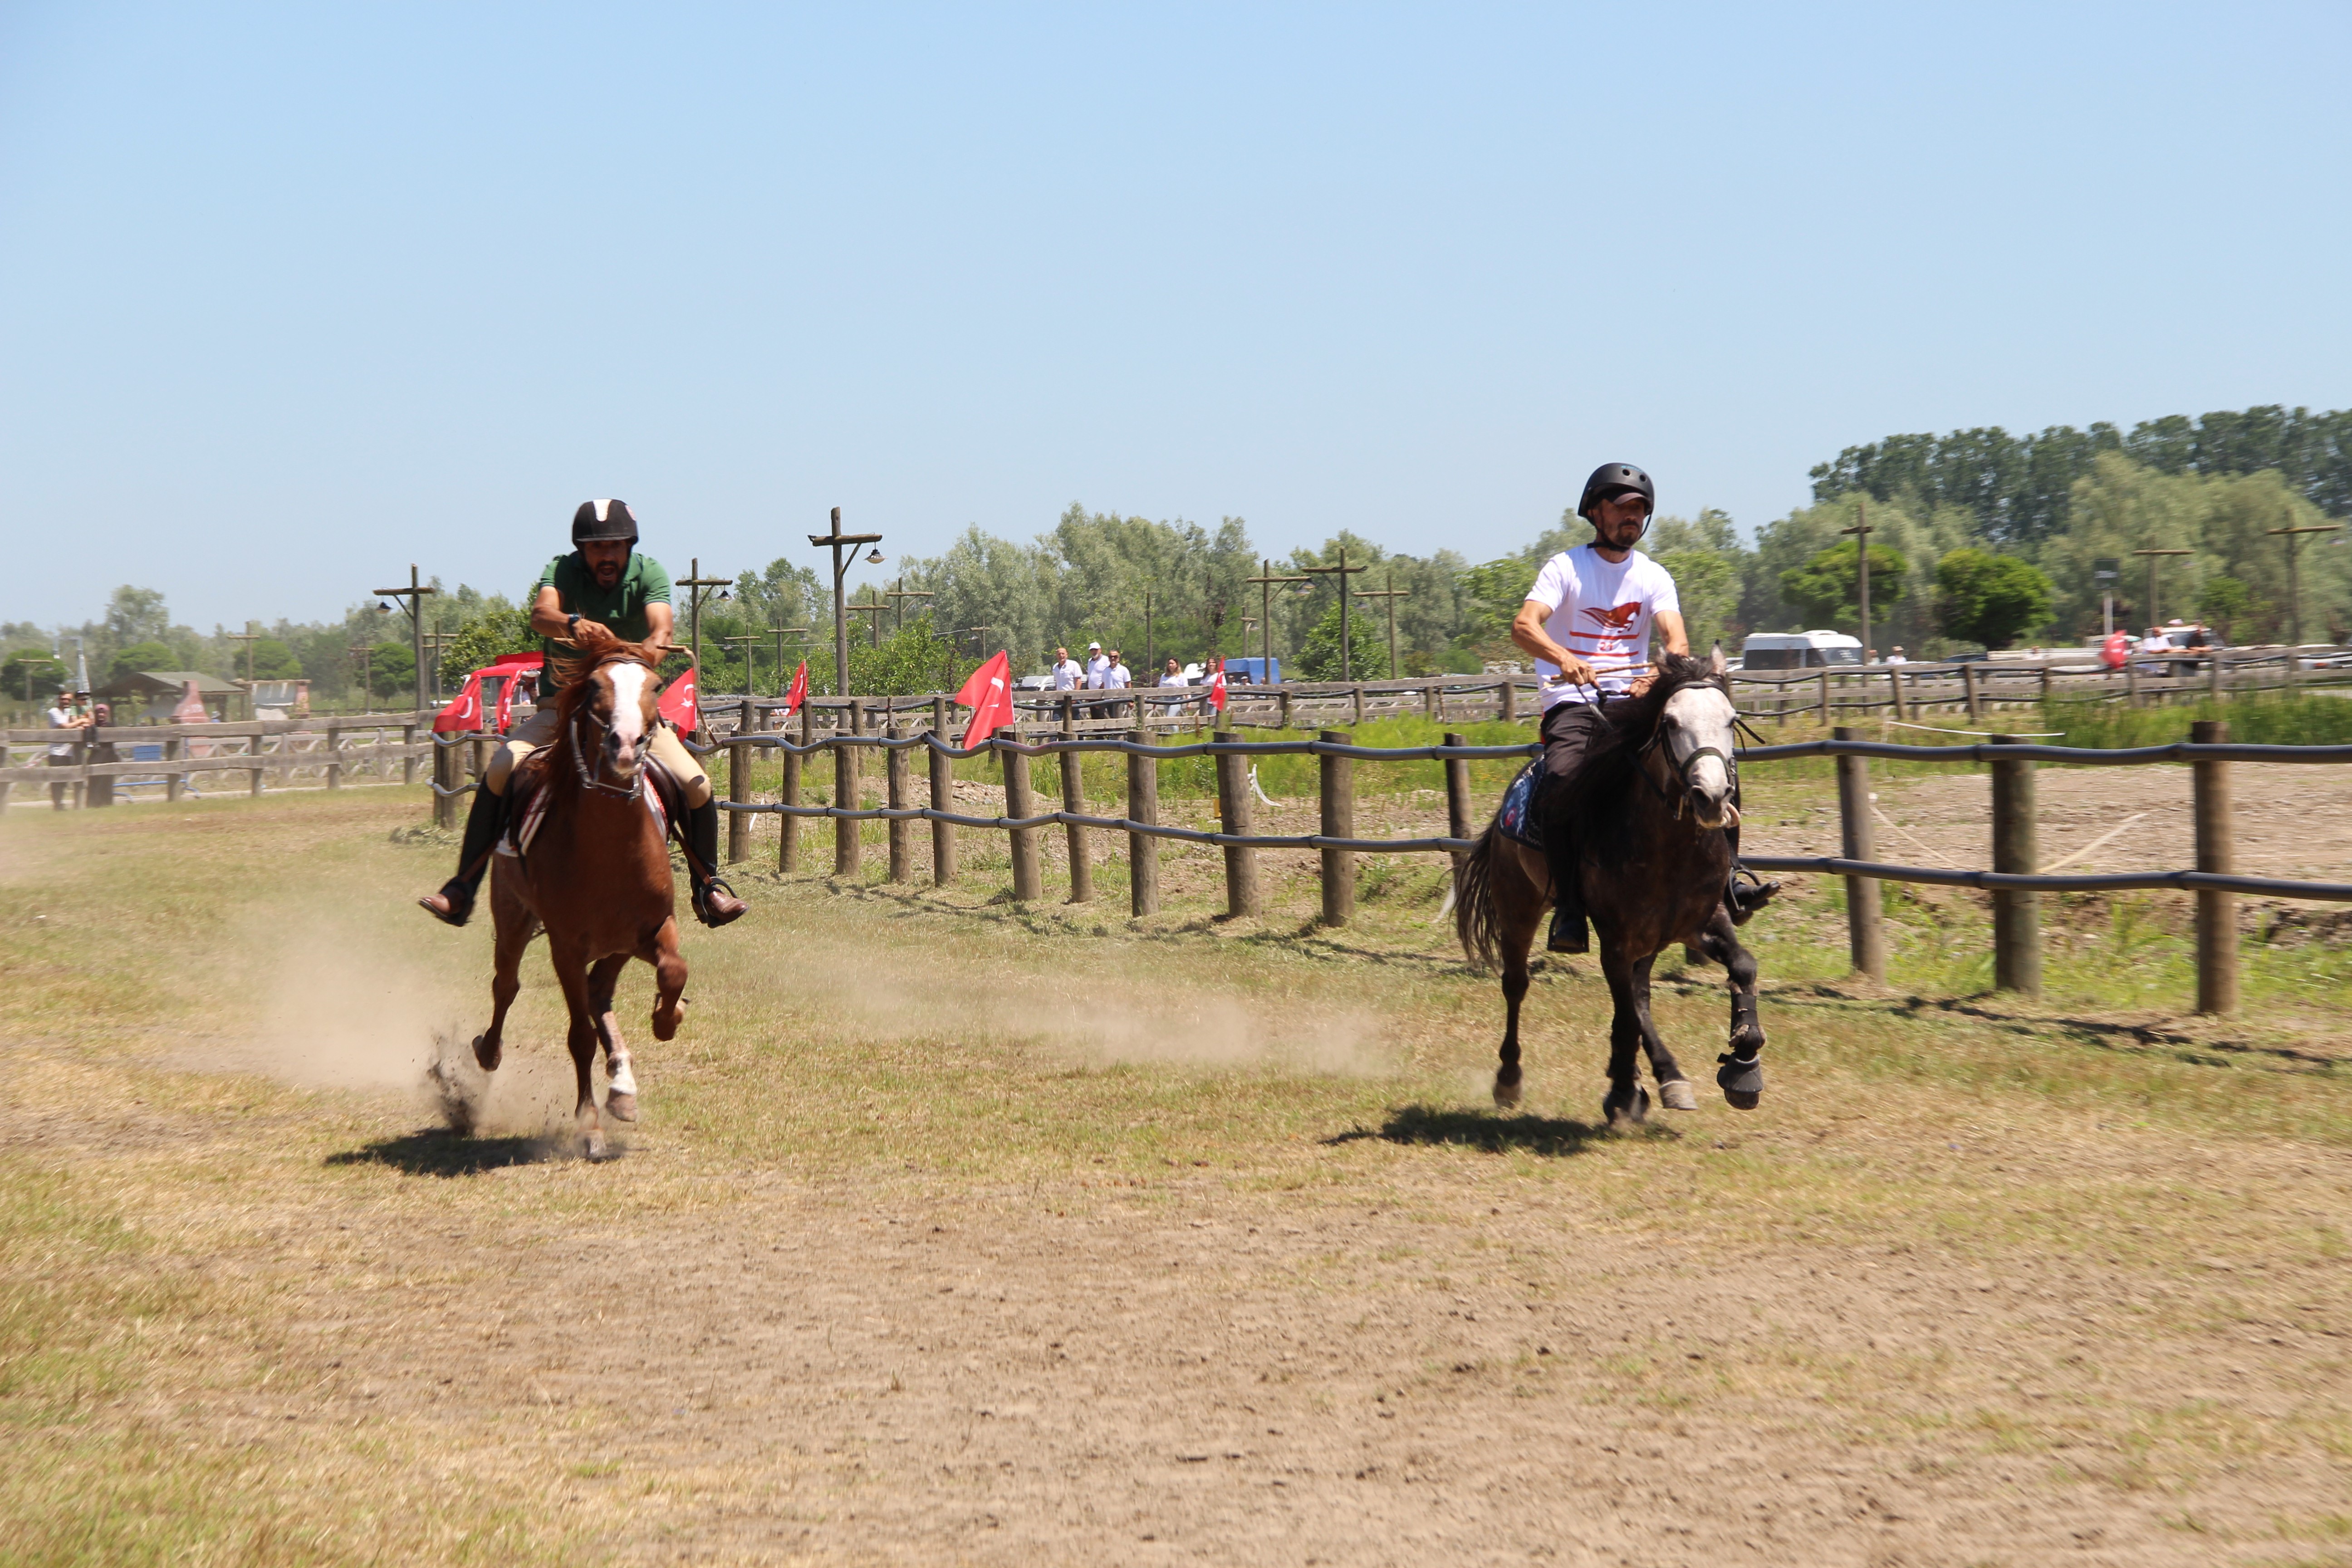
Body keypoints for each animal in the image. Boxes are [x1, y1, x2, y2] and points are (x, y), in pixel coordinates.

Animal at [470, 630, 686, 1161]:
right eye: (592, 686)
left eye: (655, 686)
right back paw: (489, 1051)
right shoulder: (566, 947)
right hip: (513, 917)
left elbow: (673, 972)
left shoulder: (650, 930)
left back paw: (623, 1086)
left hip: (615, 945)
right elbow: (579, 1038)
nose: (625, 746)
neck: (610, 848)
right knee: (506, 986)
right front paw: (589, 1127)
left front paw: (667, 1018)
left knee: (599, 992)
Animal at [1449, 653, 1769, 1128]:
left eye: (1731, 720)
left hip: (1650, 939)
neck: (1667, 847)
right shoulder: (1617, 940)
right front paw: (1621, 1091)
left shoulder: (1699, 922)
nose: (1711, 797)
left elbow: (1743, 968)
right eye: (1671, 722)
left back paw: (1666, 1076)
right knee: (1517, 984)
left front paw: (1744, 1066)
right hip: (1519, 909)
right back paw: (1510, 1079)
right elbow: (1626, 1016)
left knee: (1639, 997)